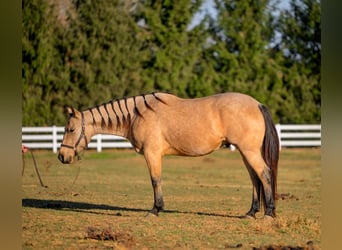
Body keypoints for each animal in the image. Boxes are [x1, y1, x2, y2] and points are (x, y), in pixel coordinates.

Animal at [58, 92, 278, 219]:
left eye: (70, 129)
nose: (62, 156)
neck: (136, 115)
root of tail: (257, 104)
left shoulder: (152, 153)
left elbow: (155, 180)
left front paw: (155, 209)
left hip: (249, 151)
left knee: (264, 175)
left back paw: (268, 213)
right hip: (245, 152)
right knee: (255, 179)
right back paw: (251, 213)